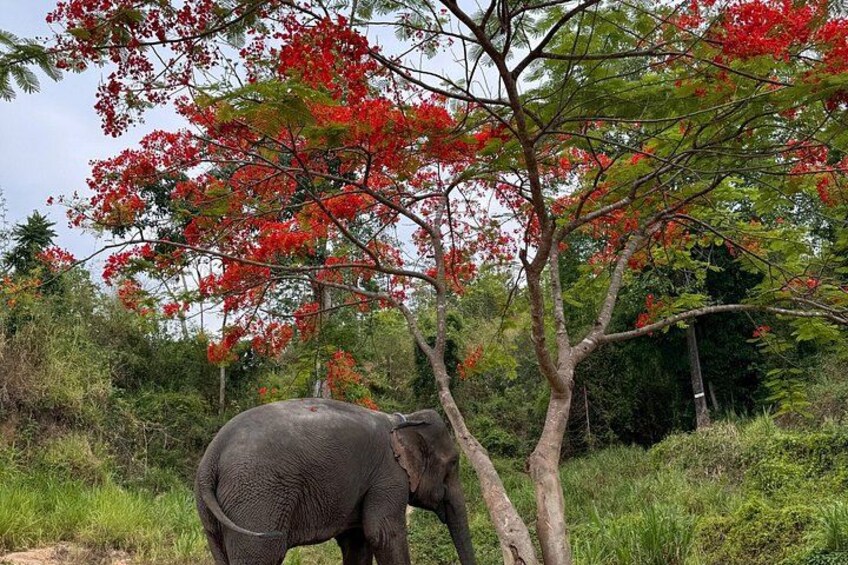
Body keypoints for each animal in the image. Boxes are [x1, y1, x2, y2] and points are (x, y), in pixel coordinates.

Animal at [195, 398, 477, 565]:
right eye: (453, 463)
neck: (402, 420)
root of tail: (212, 455)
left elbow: (358, 541)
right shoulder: (389, 476)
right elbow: (384, 534)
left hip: (213, 510)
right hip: (257, 497)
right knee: (264, 554)